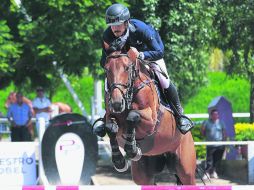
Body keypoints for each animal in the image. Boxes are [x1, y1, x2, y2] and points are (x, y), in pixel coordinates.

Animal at [102, 51, 196, 184]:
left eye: (127, 68)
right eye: (106, 69)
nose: (117, 103)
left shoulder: (151, 120)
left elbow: (132, 116)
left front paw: (132, 149)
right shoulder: (111, 117)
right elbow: (110, 127)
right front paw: (119, 161)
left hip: (186, 171)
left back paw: (183, 123)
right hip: (143, 175)